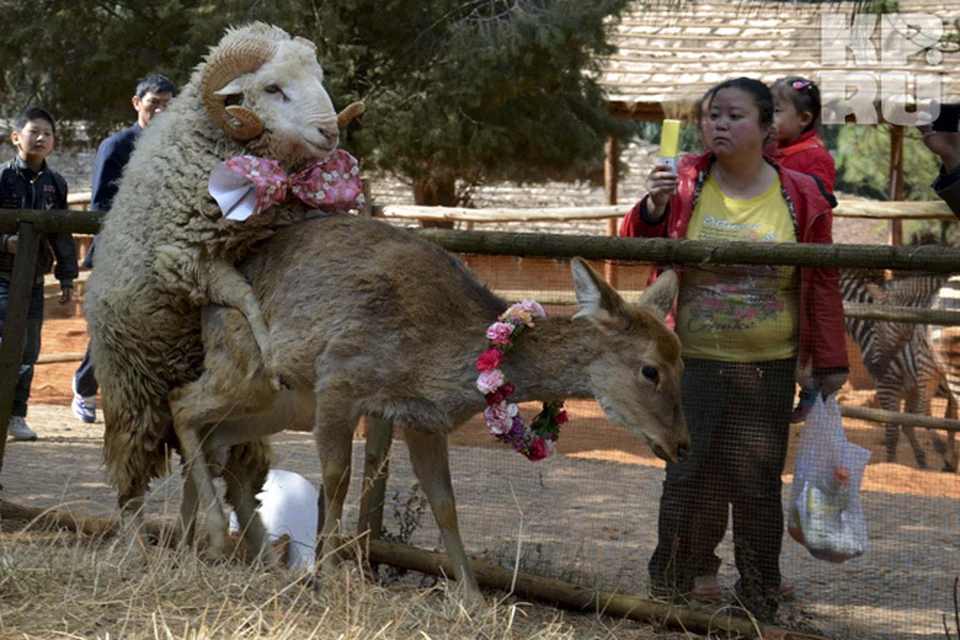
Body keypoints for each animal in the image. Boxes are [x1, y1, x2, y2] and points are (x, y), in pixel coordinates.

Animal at [167, 212, 688, 596]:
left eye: (683, 360)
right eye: (650, 370)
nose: (680, 444)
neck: (439, 357)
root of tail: (203, 303)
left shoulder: (425, 421)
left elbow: (445, 505)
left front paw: (474, 599)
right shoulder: (340, 379)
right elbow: (338, 481)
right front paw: (329, 577)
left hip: (285, 402)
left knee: (212, 434)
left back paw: (197, 550)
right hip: (248, 370)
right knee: (180, 404)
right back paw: (213, 537)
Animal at [836, 270, 956, 470]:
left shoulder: (888, 382)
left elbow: (893, 430)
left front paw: (890, 464)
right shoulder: (911, 386)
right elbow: (913, 423)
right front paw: (925, 459)